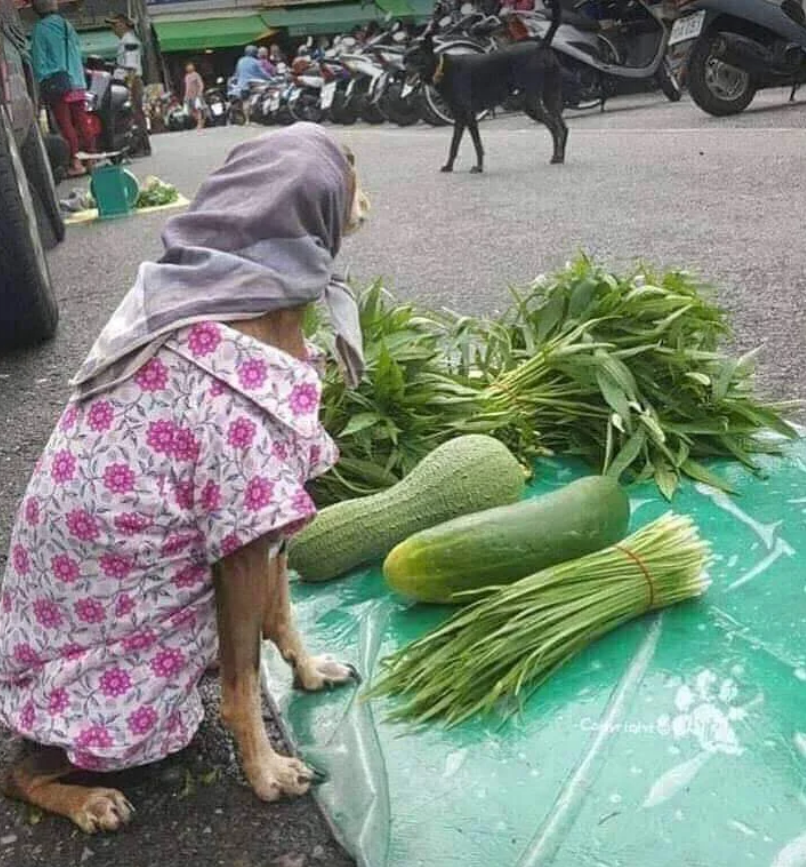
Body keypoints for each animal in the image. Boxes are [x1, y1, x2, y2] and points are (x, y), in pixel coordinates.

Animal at [404, 8, 568, 173]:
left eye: (416, 59)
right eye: (405, 60)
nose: (403, 70)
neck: (442, 69)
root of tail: (541, 45)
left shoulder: (469, 116)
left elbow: (477, 144)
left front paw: (479, 167)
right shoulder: (459, 118)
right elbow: (454, 144)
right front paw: (449, 166)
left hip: (531, 103)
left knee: (554, 127)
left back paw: (556, 156)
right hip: (550, 97)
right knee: (563, 128)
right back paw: (560, 157)